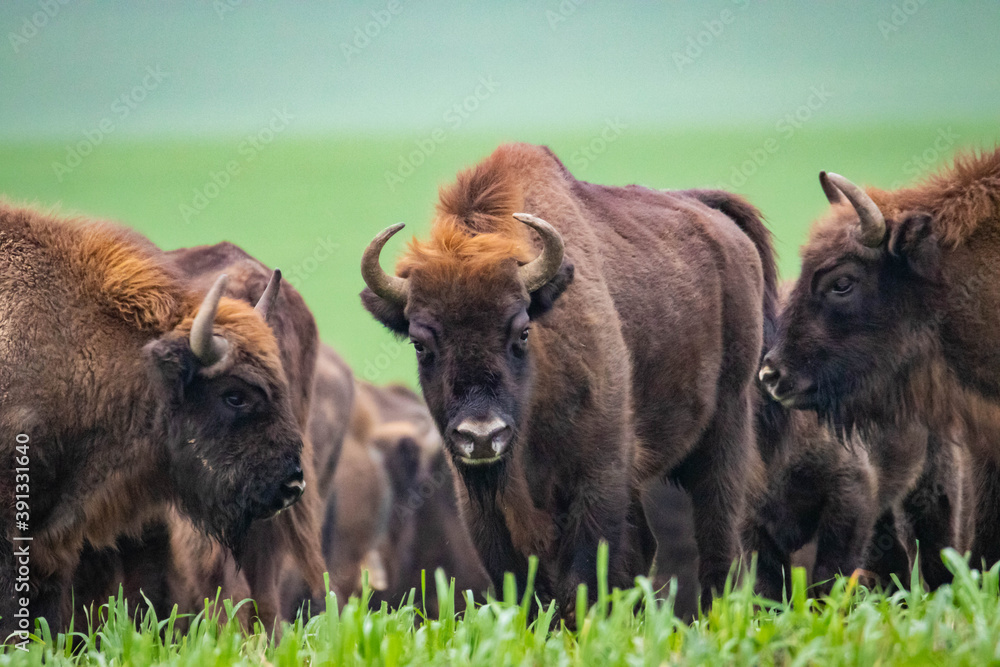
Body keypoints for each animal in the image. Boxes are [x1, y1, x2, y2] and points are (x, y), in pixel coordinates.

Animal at [360, 143, 776, 615]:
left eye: (522, 330)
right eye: (420, 343)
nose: (482, 435)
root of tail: (720, 224)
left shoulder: (597, 475)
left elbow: (585, 577)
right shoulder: (480, 501)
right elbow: (522, 583)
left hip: (727, 425)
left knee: (719, 539)